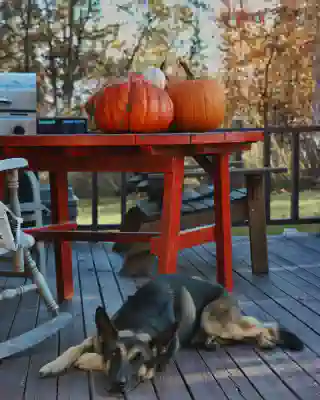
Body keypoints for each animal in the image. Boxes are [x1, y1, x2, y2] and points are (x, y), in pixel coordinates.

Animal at [38, 276, 304, 394]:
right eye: (114, 353)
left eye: (139, 359)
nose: (117, 385)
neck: (139, 323)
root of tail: (223, 289)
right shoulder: (96, 337)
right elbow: (73, 348)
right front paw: (53, 364)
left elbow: (89, 357)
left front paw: (87, 360)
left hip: (214, 321)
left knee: (262, 325)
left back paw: (267, 338)